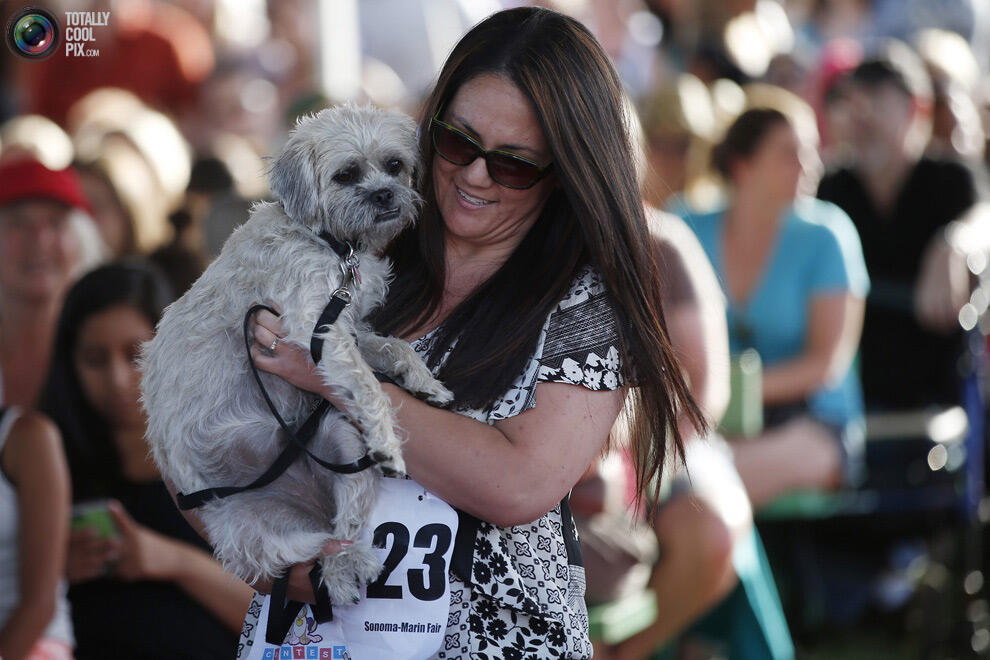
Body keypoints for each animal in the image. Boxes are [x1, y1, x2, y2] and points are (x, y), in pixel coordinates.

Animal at [140, 102, 458, 604]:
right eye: (346, 174)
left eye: (394, 165)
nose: (386, 194)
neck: (330, 241)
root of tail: (304, 503)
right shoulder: (316, 327)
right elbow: (370, 388)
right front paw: (388, 442)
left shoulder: (347, 327)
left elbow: (396, 345)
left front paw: (424, 382)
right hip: (251, 537)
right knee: (311, 549)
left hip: (342, 442)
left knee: (341, 530)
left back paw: (348, 566)